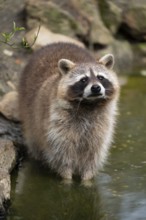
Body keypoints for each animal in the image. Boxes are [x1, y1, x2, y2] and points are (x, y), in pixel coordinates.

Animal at [19, 42, 120, 180]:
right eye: (84, 79)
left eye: (100, 77)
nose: (96, 88)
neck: (88, 104)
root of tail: (58, 43)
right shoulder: (57, 124)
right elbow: (62, 156)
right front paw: (66, 179)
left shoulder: (100, 127)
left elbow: (93, 155)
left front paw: (87, 180)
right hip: (30, 115)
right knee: (34, 140)